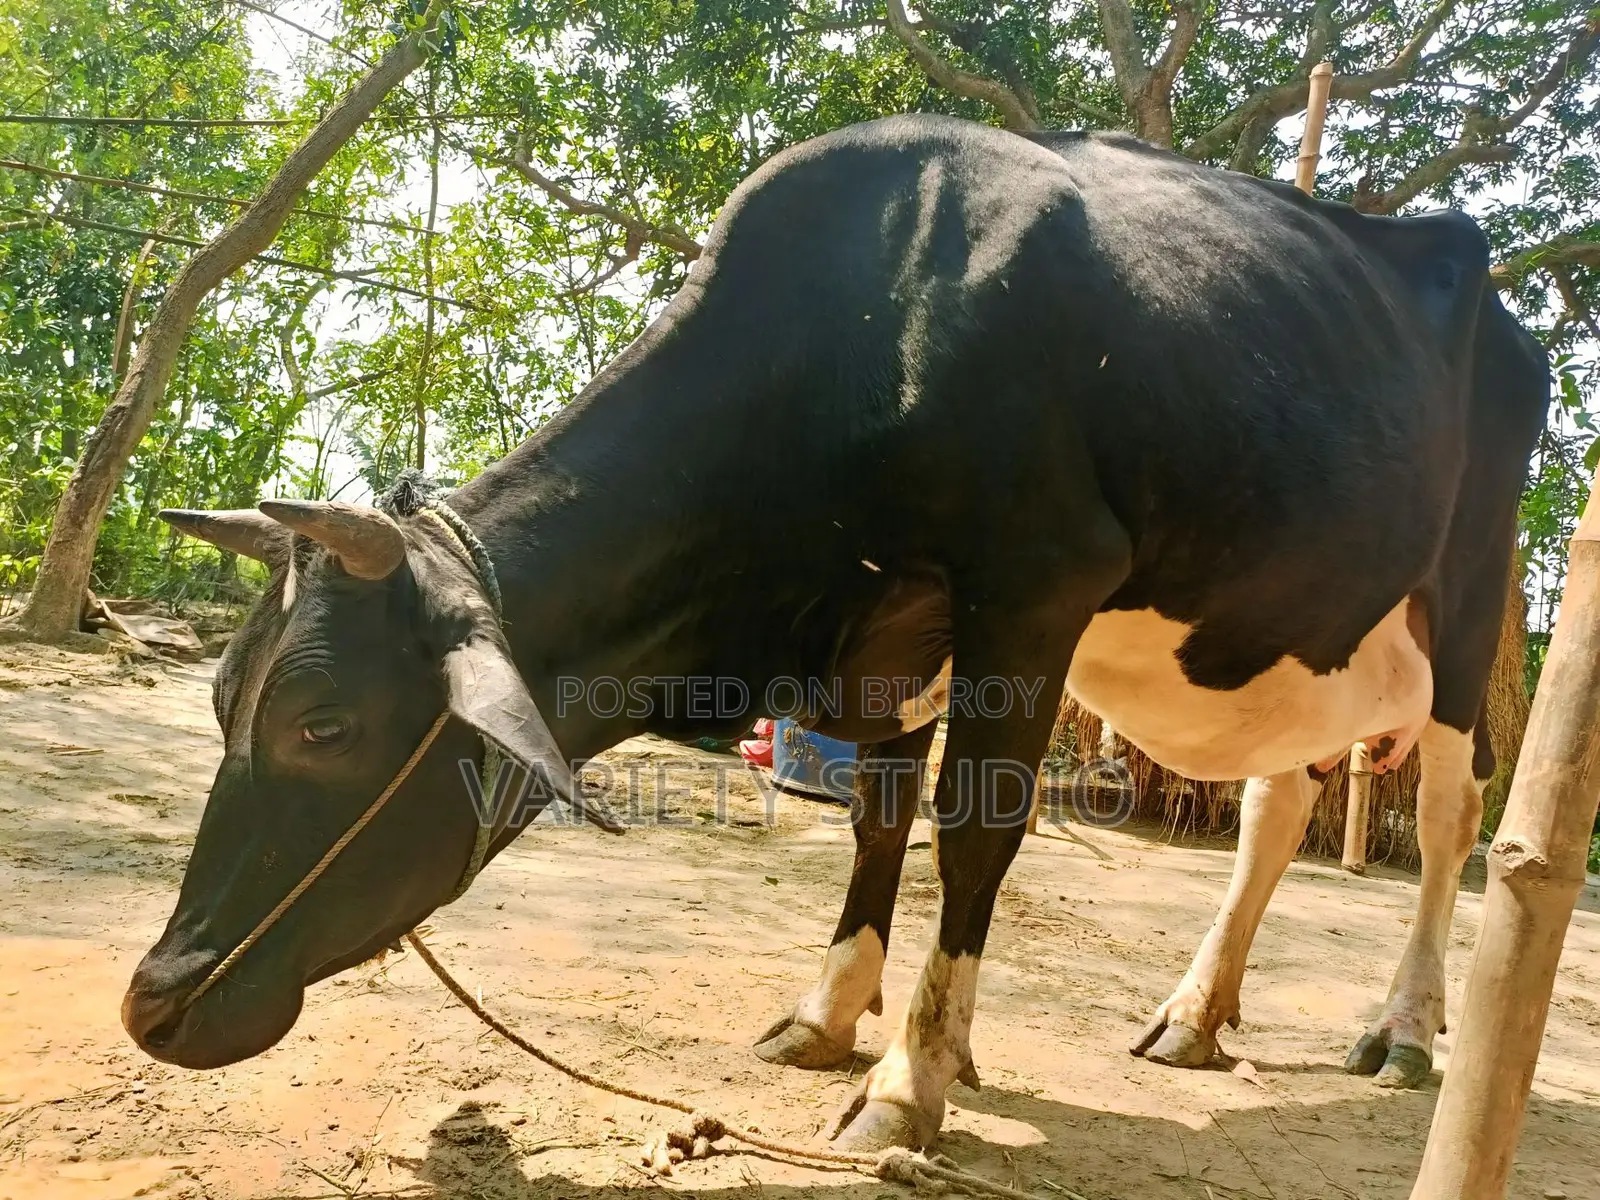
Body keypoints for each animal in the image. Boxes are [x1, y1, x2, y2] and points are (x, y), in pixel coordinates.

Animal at [120, 114, 1547, 1153]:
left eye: (324, 725)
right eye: (222, 701)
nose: (153, 999)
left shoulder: (1035, 586)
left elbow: (971, 836)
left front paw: (912, 1082)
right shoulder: (897, 633)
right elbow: (874, 824)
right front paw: (832, 1017)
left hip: (1473, 596)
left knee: (1448, 816)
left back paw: (1406, 1031)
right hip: (1302, 621)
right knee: (1272, 805)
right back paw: (1194, 1015)